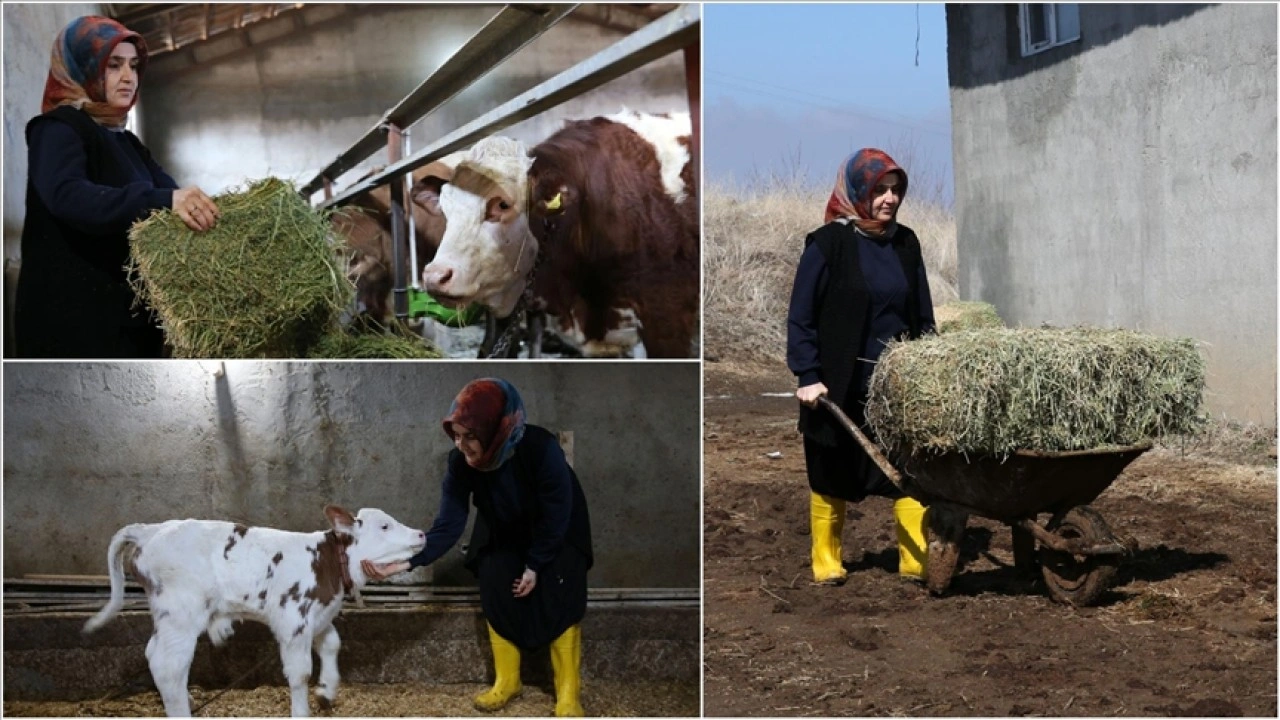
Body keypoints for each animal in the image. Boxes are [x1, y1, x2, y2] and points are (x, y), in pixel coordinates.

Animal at [82, 502, 427, 712]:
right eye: (384, 526)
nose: (422, 533)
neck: (328, 563)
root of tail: (149, 529)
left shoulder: (319, 614)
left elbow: (332, 644)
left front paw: (327, 691)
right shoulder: (293, 620)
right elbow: (300, 672)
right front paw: (303, 710)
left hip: (167, 617)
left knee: (154, 654)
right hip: (182, 613)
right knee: (169, 666)